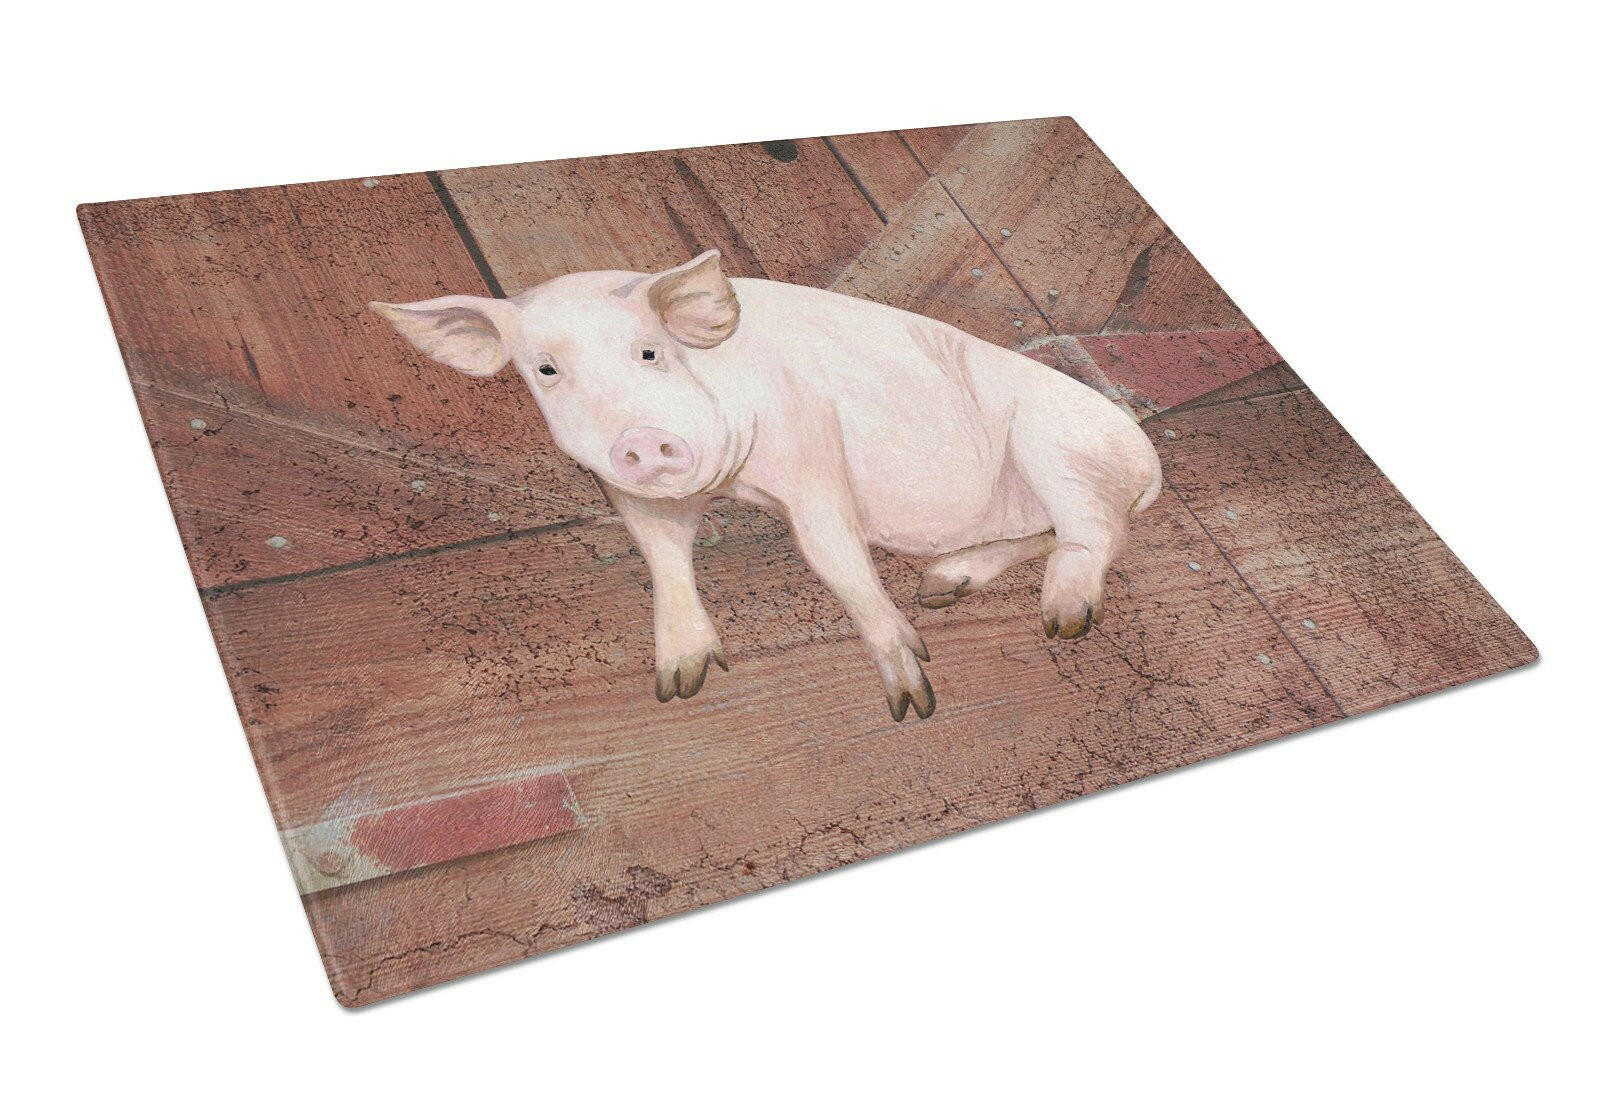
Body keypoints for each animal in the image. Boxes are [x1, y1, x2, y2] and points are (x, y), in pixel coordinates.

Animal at [371, 250, 1161, 721]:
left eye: (650, 352)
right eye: (545, 369)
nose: (639, 438)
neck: (735, 484)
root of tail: (1146, 457)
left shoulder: (813, 453)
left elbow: (835, 559)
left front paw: (914, 701)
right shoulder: (632, 494)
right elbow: (663, 558)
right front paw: (680, 686)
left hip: (1058, 445)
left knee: (1096, 534)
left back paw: (1060, 620)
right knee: (1050, 533)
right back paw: (943, 584)